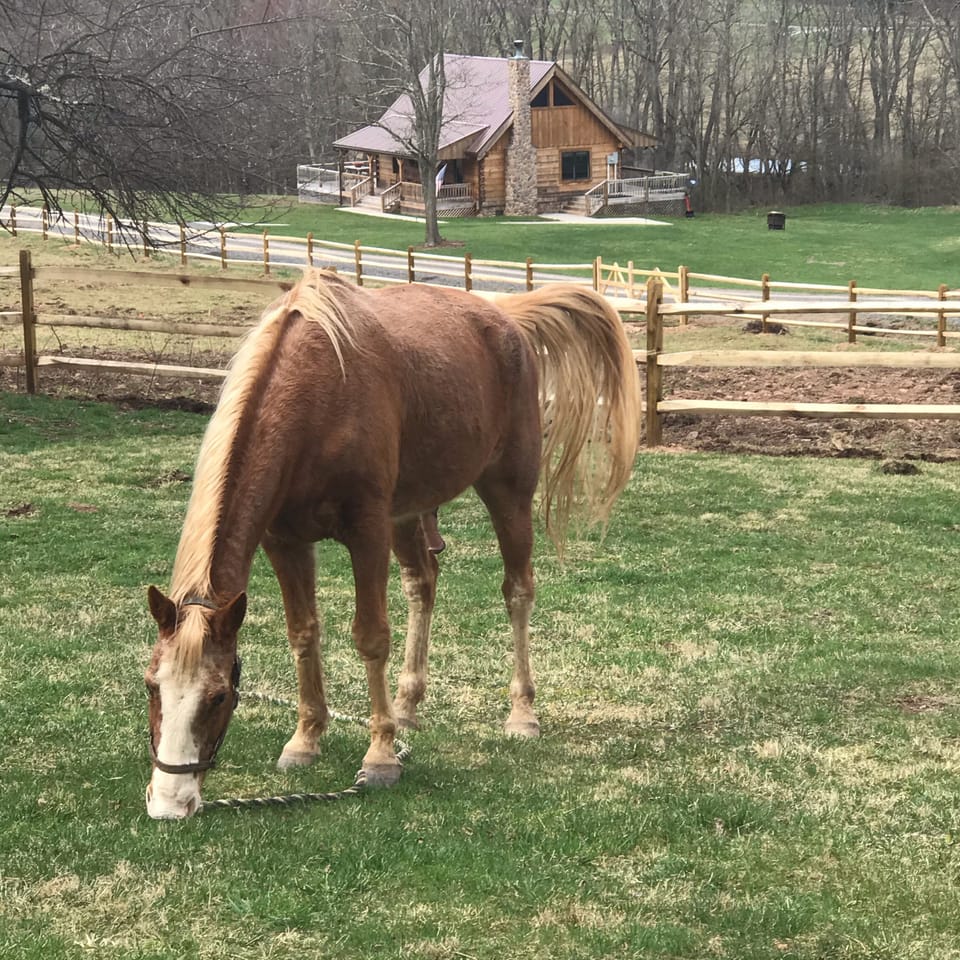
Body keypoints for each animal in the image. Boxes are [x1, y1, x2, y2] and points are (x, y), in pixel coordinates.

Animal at [144, 270, 641, 819]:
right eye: (151, 686)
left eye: (217, 696)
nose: (169, 803)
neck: (316, 395)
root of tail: (504, 316)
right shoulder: (285, 542)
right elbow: (303, 634)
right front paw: (305, 739)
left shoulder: (368, 532)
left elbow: (370, 636)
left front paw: (380, 755)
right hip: (409, 513)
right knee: (423, 584)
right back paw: (406, 706)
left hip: (507, 492)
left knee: (518, 591)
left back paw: (520, 713)